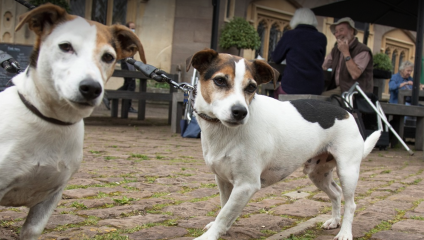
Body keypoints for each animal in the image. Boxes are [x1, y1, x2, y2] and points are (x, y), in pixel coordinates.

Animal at [0, 4, 145, 240]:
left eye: (108, 56)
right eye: (65, 46)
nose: (91, 88)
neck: (52, 120)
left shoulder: (51, 197)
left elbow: (32, 229)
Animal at [186, 48, 380, 240]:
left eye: (251, 87)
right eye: (219, 80)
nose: (240, 112)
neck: (221, 131)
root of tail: (346, 112)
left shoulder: (246, 185)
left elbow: (225, 214)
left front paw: (210, 235)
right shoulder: (223, 180)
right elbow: (225, 208)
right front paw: (222, 229)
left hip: (348, 171)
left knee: (351, 204)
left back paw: (345, 232)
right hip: (318, 174)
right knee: (336, 193)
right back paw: (334, 221)